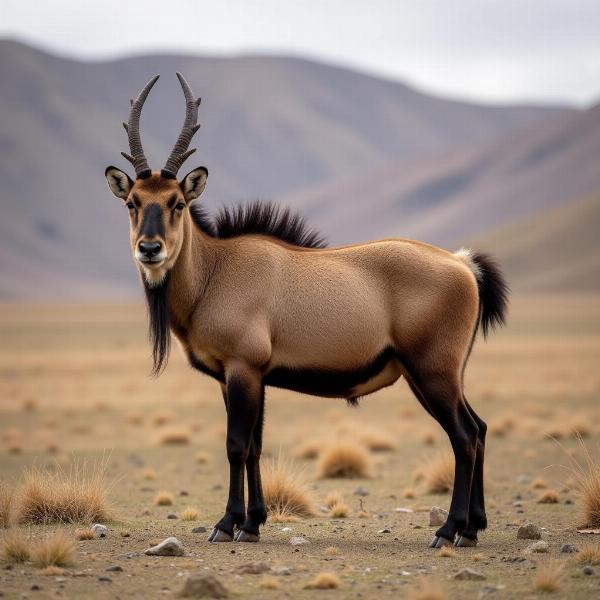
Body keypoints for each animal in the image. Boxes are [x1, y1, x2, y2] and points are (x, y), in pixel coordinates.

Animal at [104, 72, 506, 548]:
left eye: (176, 203)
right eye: (133, 202)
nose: (150, 249)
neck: (215, 270)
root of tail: (463, 264)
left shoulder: (243, 369)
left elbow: (236, 445)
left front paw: (228, 524)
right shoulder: (240, 377)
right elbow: (255, 446)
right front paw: (252, 523)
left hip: (432, 372)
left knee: (464, 437)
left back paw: (449, 531)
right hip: (439, 376)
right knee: (480, 429)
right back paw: (473, 528)